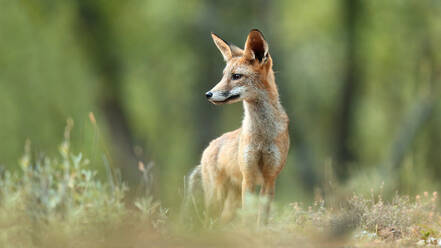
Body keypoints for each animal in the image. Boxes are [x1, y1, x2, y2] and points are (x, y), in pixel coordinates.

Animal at [186, 29, 288, 225]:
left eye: (236, 76)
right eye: (223, 75)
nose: (208, 94)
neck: (262, 136)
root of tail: (209, 147)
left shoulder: (270, 178)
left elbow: (261, 219)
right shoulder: (248, 176)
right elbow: (248, 218)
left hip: (230, 203)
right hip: (217, 198)